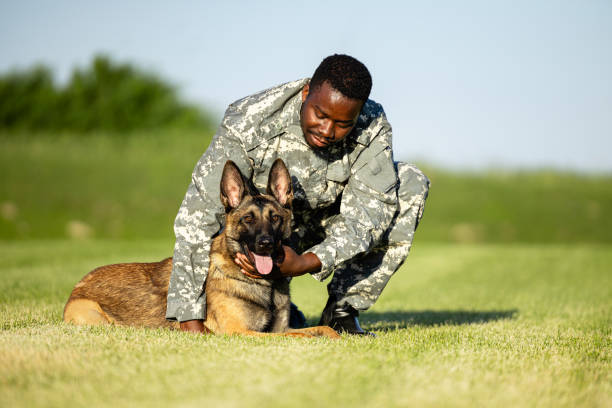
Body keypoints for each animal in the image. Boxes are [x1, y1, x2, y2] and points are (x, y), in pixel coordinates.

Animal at [63, 158, 340, 340]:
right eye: (248, 219)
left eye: (275, 218)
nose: (265, 243)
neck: (264, 285)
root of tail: (78, 285)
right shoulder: (242, 333)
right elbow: (298, 337)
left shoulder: (281, 328)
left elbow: (324, 329)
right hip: (97, 318)